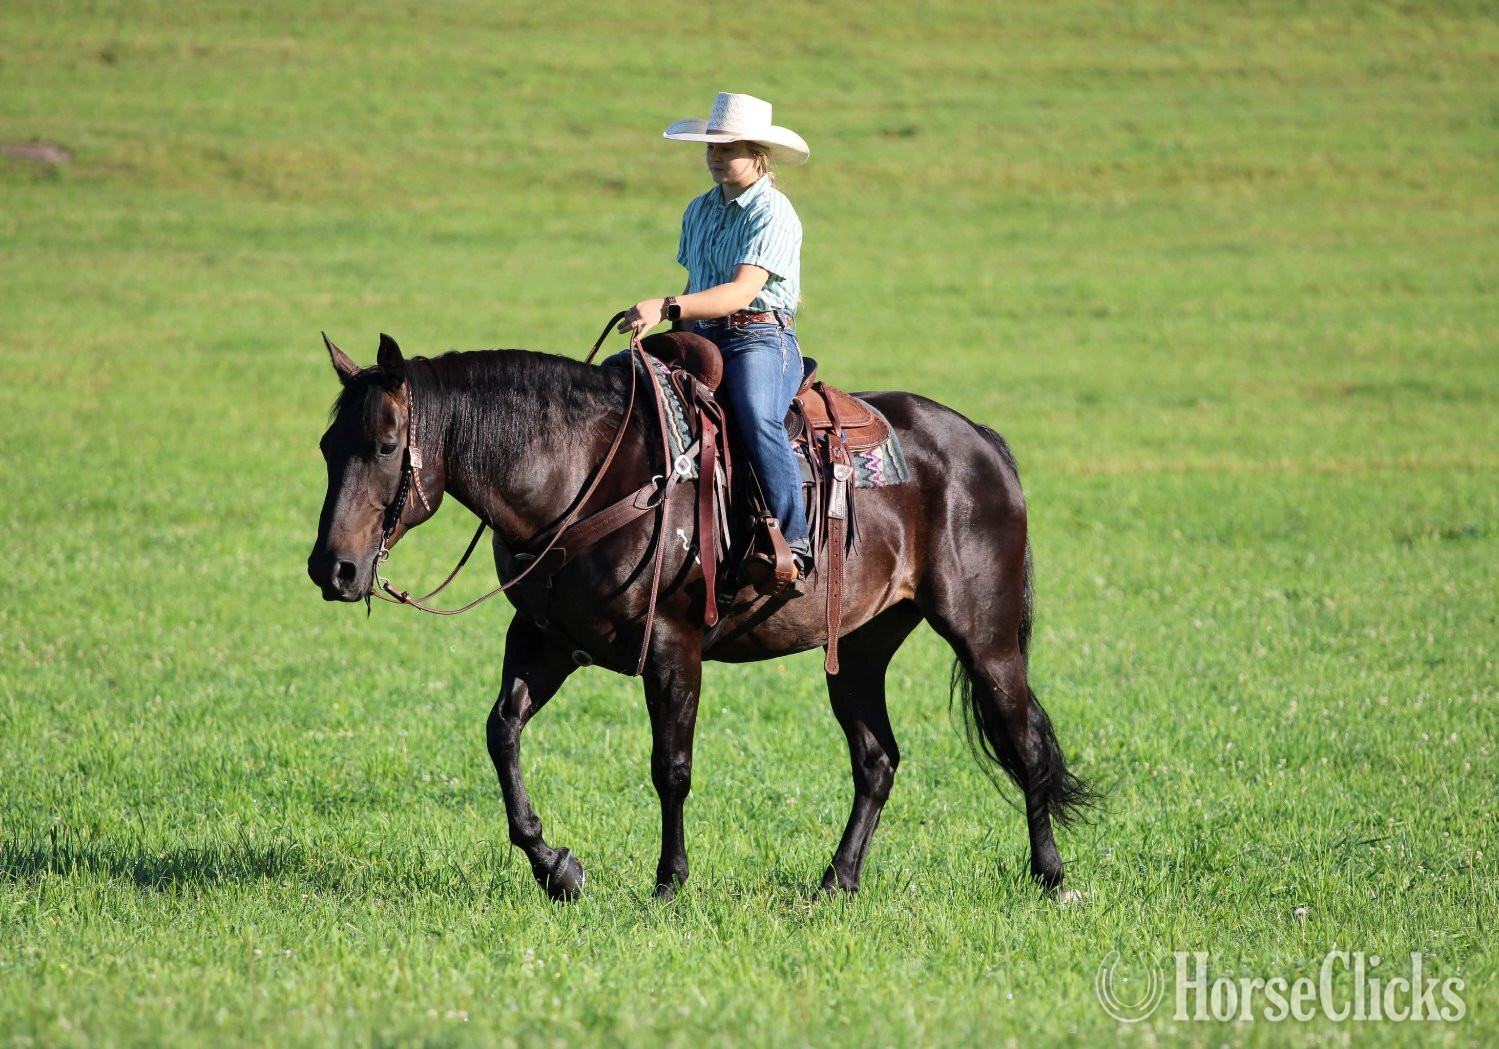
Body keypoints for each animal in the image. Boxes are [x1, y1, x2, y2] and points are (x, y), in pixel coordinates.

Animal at [307, 333, 1094, 901]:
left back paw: (1051, 878)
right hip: (860, 648)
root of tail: (981, 442)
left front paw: (668, 881)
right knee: (877, 760)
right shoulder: (544, 639)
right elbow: (502, 733)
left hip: (984, 636)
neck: (587, 474)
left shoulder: (671, 646)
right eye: (325, 446)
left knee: (1025, 741)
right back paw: (836, 882)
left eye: (384, 446)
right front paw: (557, 867)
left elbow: (671, 767)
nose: (332, 568)